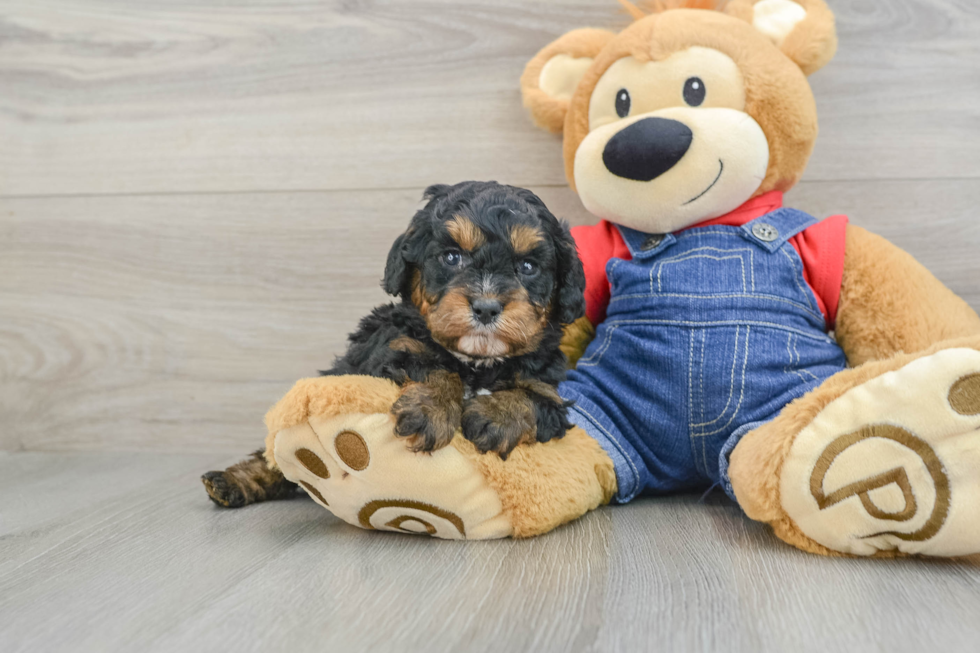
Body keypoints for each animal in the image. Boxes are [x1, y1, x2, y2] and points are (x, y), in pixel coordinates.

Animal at [199, 181, 580, 506]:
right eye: (452, 257)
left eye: (527, 266)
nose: (486, 307)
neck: (475, 361)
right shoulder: (389, 349)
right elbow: (430, 366)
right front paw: (430, 411)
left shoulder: (547, 385)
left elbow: (535, 398)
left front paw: (496, 416)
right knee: (273, 460)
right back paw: (234, 481)